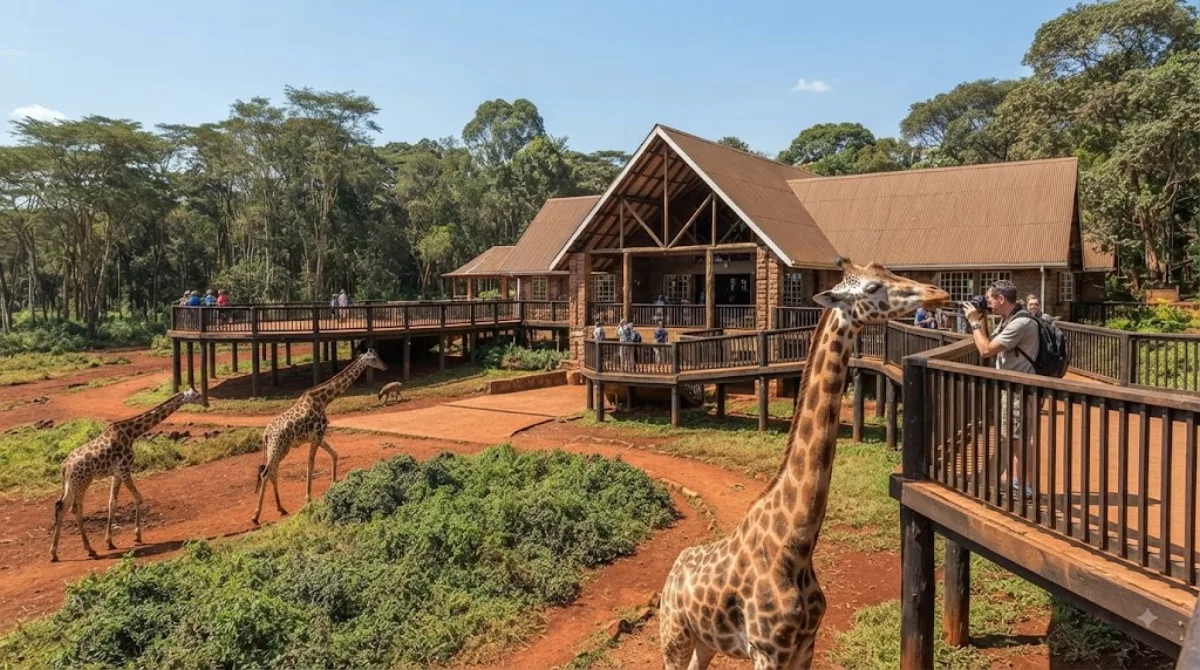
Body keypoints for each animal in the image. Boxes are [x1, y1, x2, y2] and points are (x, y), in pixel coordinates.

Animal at [50, 387, 208, 562]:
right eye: (197, 395)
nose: (206, 403)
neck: (132, 433)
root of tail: (65, 466)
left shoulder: (117, 473)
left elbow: (112, 502)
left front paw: (110, 541)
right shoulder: (125, 469)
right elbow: (138, 498)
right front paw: (137, 536)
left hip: (71, 485)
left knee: (61, 507)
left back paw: (54, 553)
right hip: (83, 482)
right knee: (76, 510)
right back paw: (90, 550)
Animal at [252, 348, 388, 524]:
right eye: (375, 358)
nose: (385, 366)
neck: (325, 399)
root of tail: (266, 433)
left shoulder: (319, 436)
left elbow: (334, 454)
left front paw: (334, 483)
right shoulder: (317, 435)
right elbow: (311, 465)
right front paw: (308, 498)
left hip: (274, 449)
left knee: (272, 472)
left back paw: (281, 508)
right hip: (281, 448)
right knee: (266, 473)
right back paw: (256, 516)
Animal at [658, 259, 949, 670]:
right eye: (872, 287)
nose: (938, 293)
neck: (795, 547)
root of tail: (672, 574)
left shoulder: (805, 646)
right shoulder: (768, 652)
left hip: (705, 641)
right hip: (674, 638)